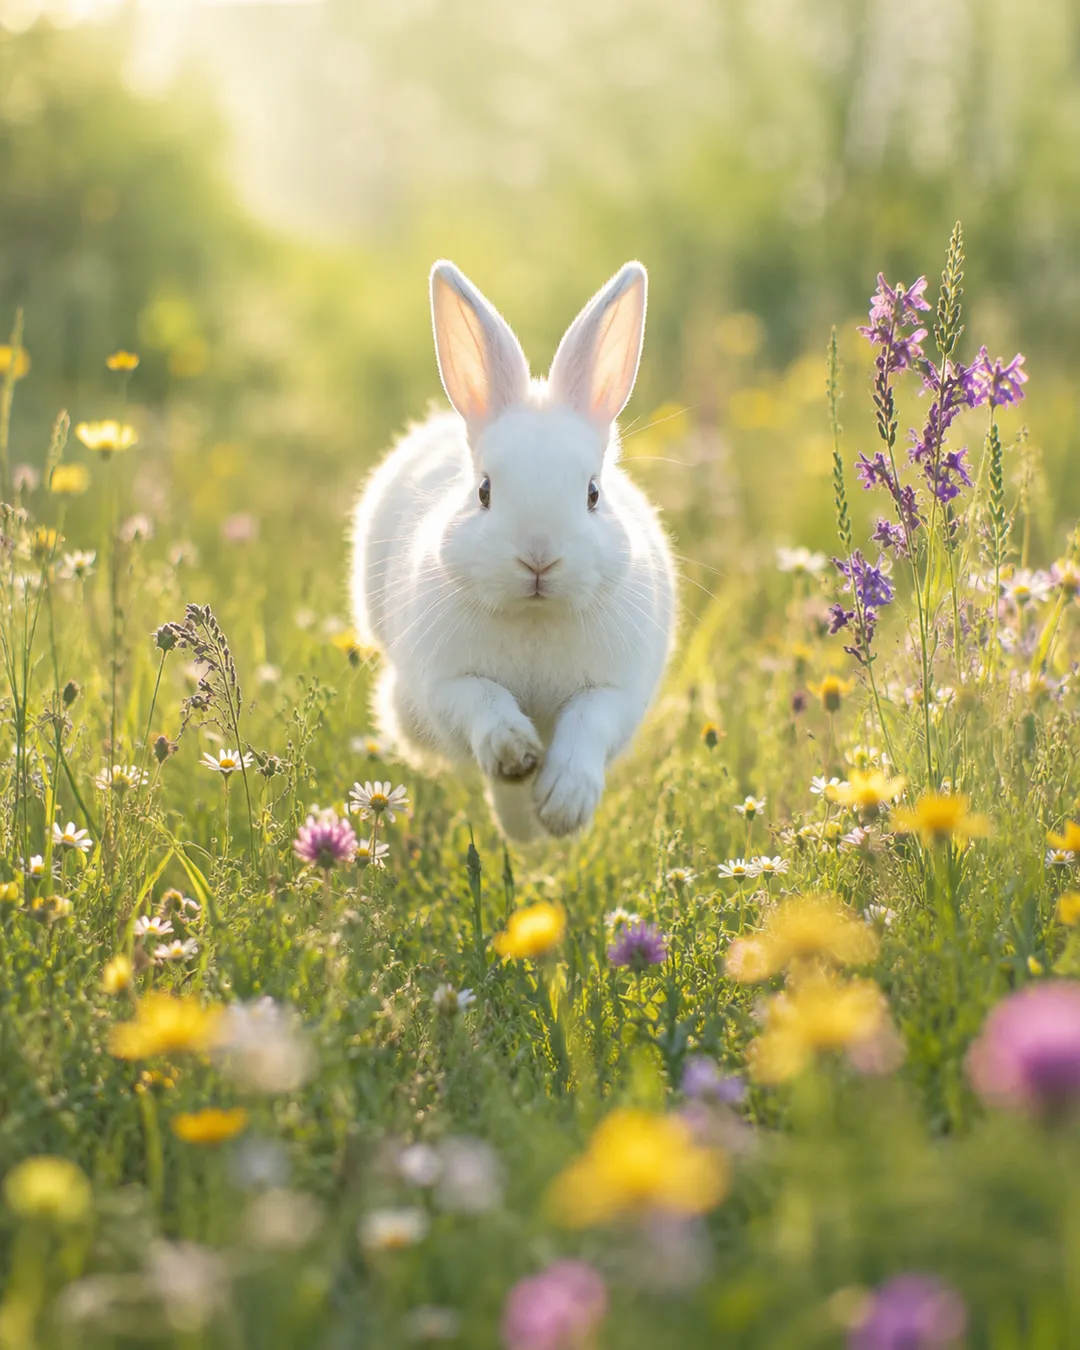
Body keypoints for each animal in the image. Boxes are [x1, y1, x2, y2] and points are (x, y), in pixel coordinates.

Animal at [350, 259, 676, 841]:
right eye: (484, 491)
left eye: (593, 494)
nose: (538, 558)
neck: (534, 615)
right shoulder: (445, 684)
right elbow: (484, 706)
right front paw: (517, 758)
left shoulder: (616, 692)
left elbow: (588, 724)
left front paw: (564, 807)